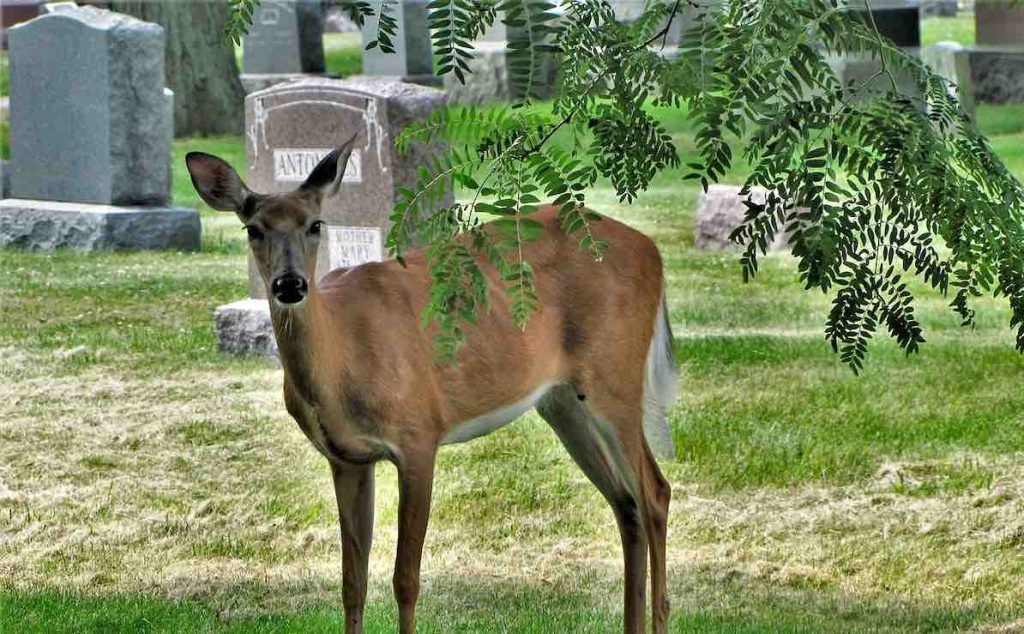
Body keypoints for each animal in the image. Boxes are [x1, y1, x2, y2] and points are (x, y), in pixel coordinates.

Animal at [184, 140, 679, 634]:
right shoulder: (346, 459)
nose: (290, 284)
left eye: (316, 224)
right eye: (252, 229)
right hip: (563, 402)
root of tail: (654, 251)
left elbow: (406, 578)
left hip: (614, 374)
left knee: (654, 493)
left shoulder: (418, 433)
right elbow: (352, 583)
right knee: (626, 504)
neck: (342, 361)